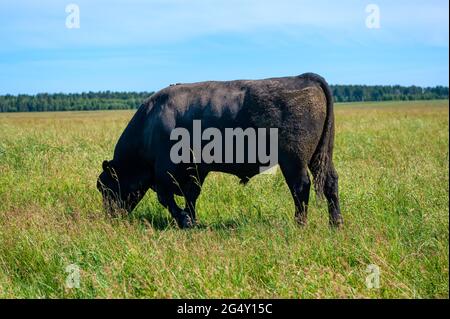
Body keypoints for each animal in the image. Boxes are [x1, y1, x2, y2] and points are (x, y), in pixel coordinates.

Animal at [96, 73, 342, 228]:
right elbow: (191, 195)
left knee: (300, 187)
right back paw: (335, 224)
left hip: (293, 161)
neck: (151, 123)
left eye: (105, 187)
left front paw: (184, 220)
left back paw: (299, 224)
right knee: (330, 182)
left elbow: (167, 199)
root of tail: (305, 77)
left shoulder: (165, 171)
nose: (110, 217)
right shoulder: (196, 170)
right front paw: (192, 220)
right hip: (320, 157)